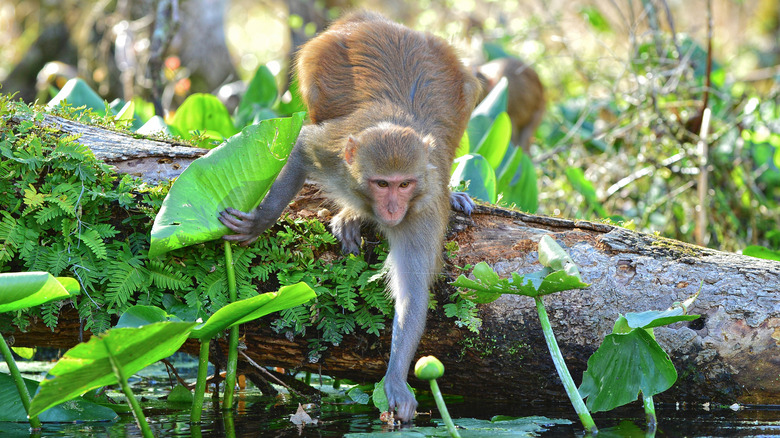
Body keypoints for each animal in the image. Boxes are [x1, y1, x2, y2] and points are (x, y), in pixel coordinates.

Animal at [219, 10, 482, 420]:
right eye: (382, 183)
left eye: (404, 185)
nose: (391, 208)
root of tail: (380, 22)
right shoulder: (331, 154)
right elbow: (301, 147)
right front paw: (261, 220)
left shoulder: (421, 209)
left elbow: (412, 291)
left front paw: (395, 378)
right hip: (321, 57)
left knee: (469, 91)